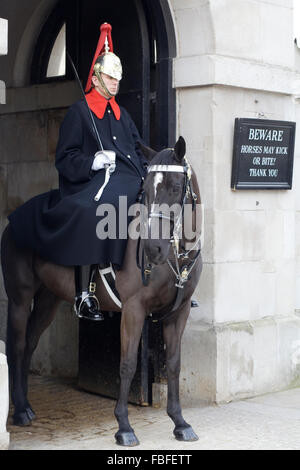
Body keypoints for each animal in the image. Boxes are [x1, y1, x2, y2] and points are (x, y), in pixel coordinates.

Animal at [1, 135, 202, 444]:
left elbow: (174, 363)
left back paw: (26, 406)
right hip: (20, 298)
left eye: (176, 188)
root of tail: (15, 217)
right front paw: (124, 427)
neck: (176, 256)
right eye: (146, 190)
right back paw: (20, 411)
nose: (153, 249)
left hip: (48, 300)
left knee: (30, 343)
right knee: (17, 344)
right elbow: (127, 364)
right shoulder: (133, 310)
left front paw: (179, 422)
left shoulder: (178, 313)